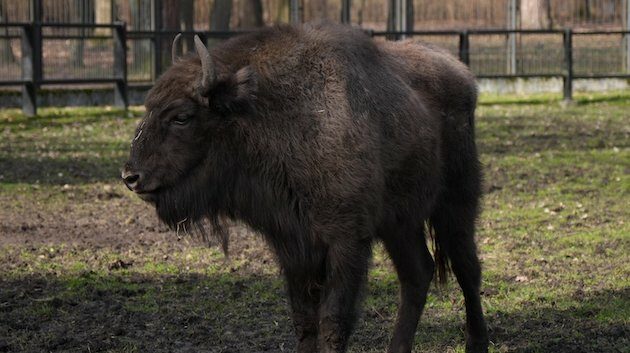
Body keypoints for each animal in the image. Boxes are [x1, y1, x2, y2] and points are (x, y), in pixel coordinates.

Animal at [121, 23, 492, 352]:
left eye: (182, 116)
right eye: (149, 108)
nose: (130, 176)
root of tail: (462, 74)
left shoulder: (346, 243)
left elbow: (333, 321)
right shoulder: (293, 245)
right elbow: (304, 321)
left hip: (456, 204)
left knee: (467, 268)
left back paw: (477, 344)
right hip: (399, 223)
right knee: (418, 273)